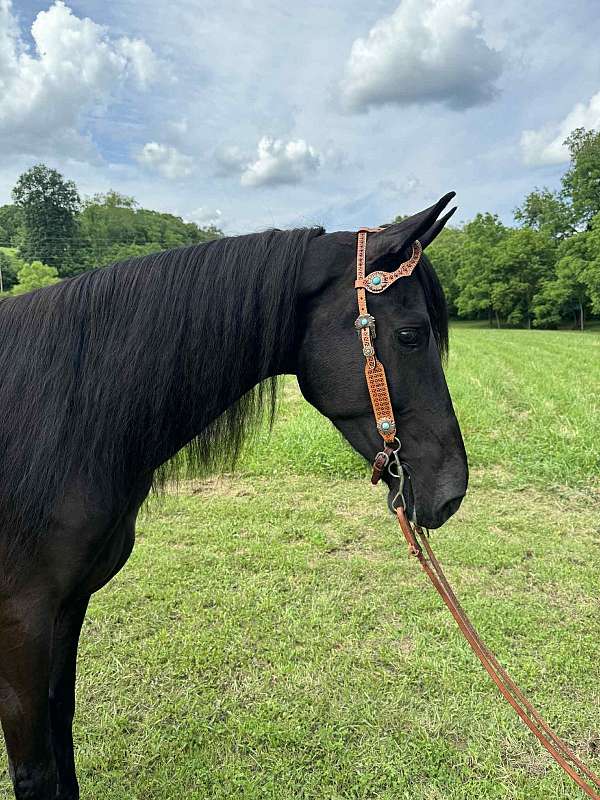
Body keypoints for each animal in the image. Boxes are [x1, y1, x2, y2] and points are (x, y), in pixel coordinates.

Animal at [0, 192, 467, 799]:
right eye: (411, 334)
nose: (453, 492)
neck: (56, 426)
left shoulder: (68, 606)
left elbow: (62, 729)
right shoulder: (21, 622)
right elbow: (36, 772)